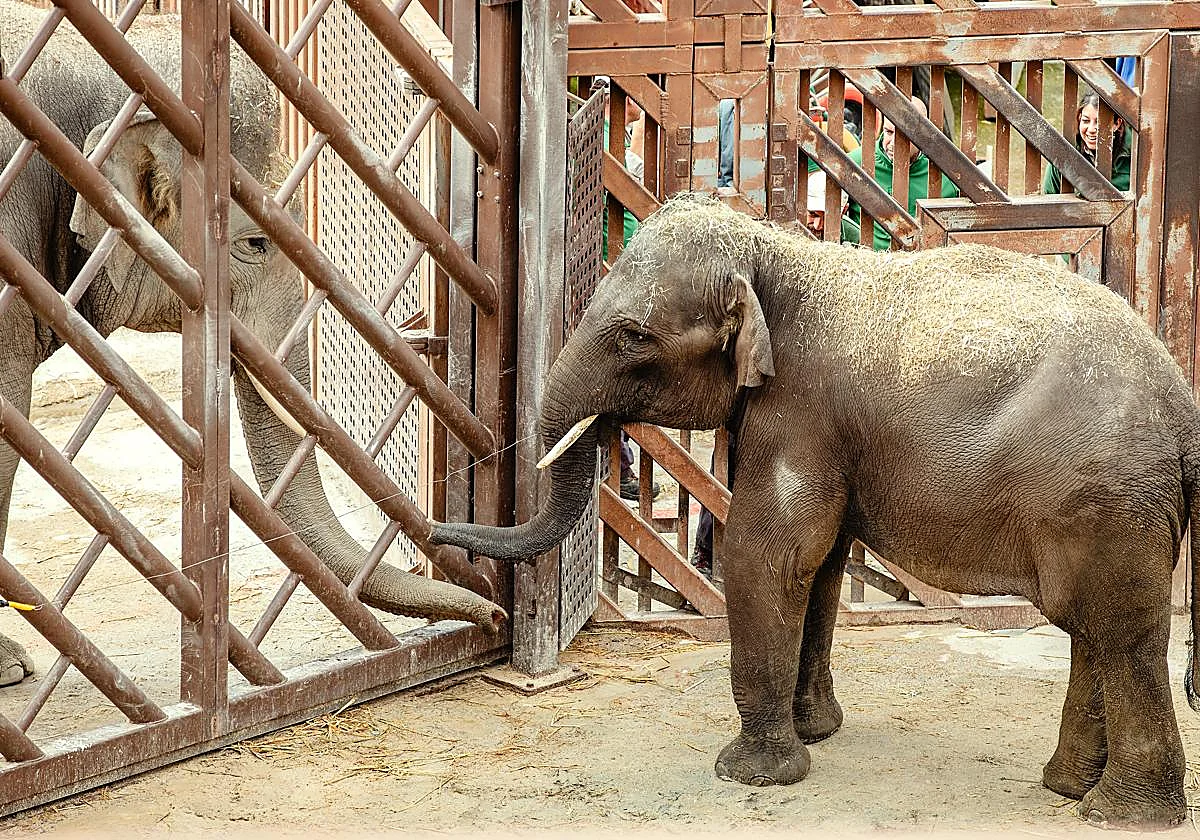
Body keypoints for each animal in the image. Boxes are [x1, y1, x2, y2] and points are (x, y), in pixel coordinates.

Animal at [432, 194, 1200, 830]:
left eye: (634, 336)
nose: (435, 533)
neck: (772, 251)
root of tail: (1183, 407)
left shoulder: (802, 411)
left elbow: (767, 555)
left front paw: (753, 774)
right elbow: (821, 568)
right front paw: (815, 733)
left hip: (1104, 499)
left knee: (1118, 630)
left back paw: (1119, 814)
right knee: (1090, 627)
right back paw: (1066, 787)